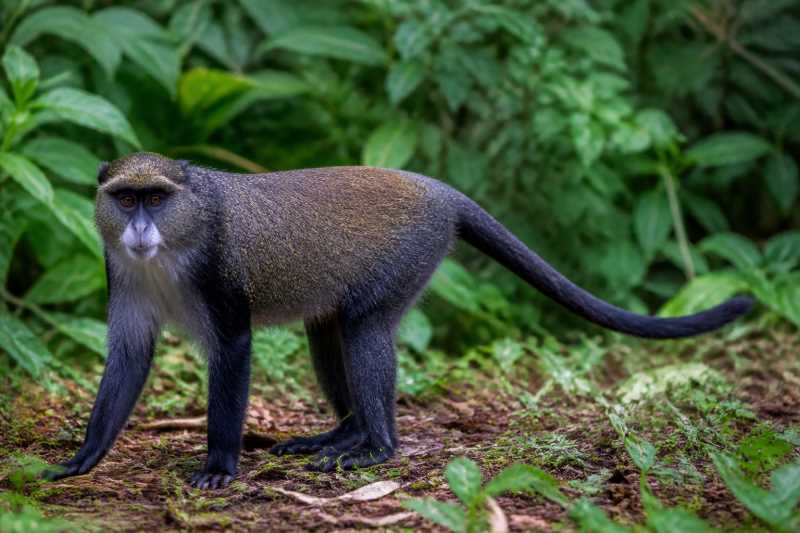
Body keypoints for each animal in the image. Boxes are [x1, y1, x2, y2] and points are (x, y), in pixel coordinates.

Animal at [42, 152, 752, 489]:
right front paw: (83, 459)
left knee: (364, 331)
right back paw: (342, 435)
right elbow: (129, 358)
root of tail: (440, 191)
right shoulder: (120, 271)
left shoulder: (220, 279)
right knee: (329, 331)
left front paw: (219, 466)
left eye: (156, 198)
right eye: (125, 198)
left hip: (408, 259)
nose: (139, 228)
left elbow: (235, 350)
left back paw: (375, 449)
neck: (172, 242)